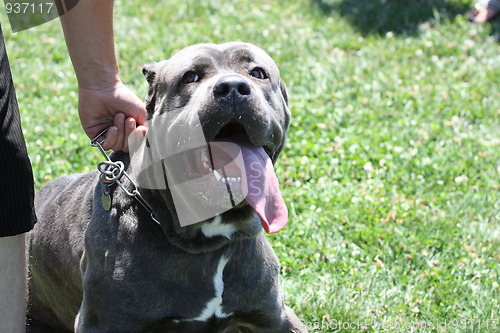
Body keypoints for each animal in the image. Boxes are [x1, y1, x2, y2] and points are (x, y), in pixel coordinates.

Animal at [28, 42, 308, 330]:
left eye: (258, 73)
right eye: (190, 77)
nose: (232, 87)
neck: (212, 239)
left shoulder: (276, 318)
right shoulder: (102, 323)